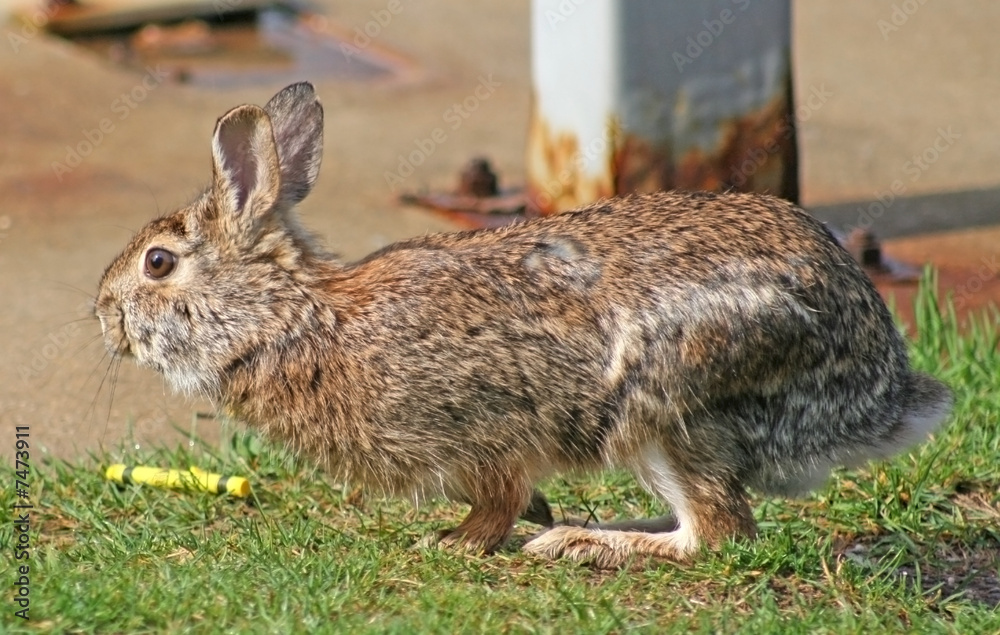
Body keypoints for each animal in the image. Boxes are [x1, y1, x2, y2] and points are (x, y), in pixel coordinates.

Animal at [95, 82, 953, 569]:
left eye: (159, 264)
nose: (104, 313)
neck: (292, 319)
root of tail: (881, 391)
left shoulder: (485, 433)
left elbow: (498, 498)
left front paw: (454, 543)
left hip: (666, 405)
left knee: (717, 530)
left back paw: (580, 542)